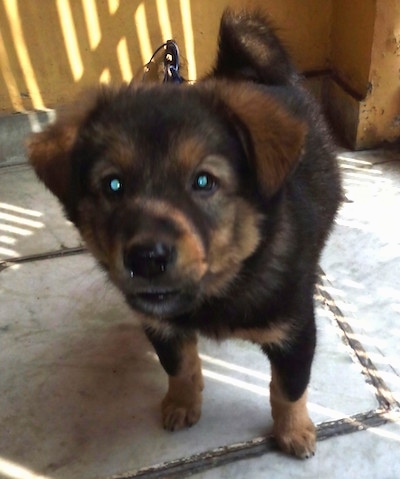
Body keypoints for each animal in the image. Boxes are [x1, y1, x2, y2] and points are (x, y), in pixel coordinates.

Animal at [28, 10, 340, 462]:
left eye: (204, 181)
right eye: (113, 185)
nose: (147, 259)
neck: (218, 291)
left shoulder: (295, 331)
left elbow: (288, 388)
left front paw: (294, 431)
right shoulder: (160, 325)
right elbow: (179, 366)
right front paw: (181, 403)